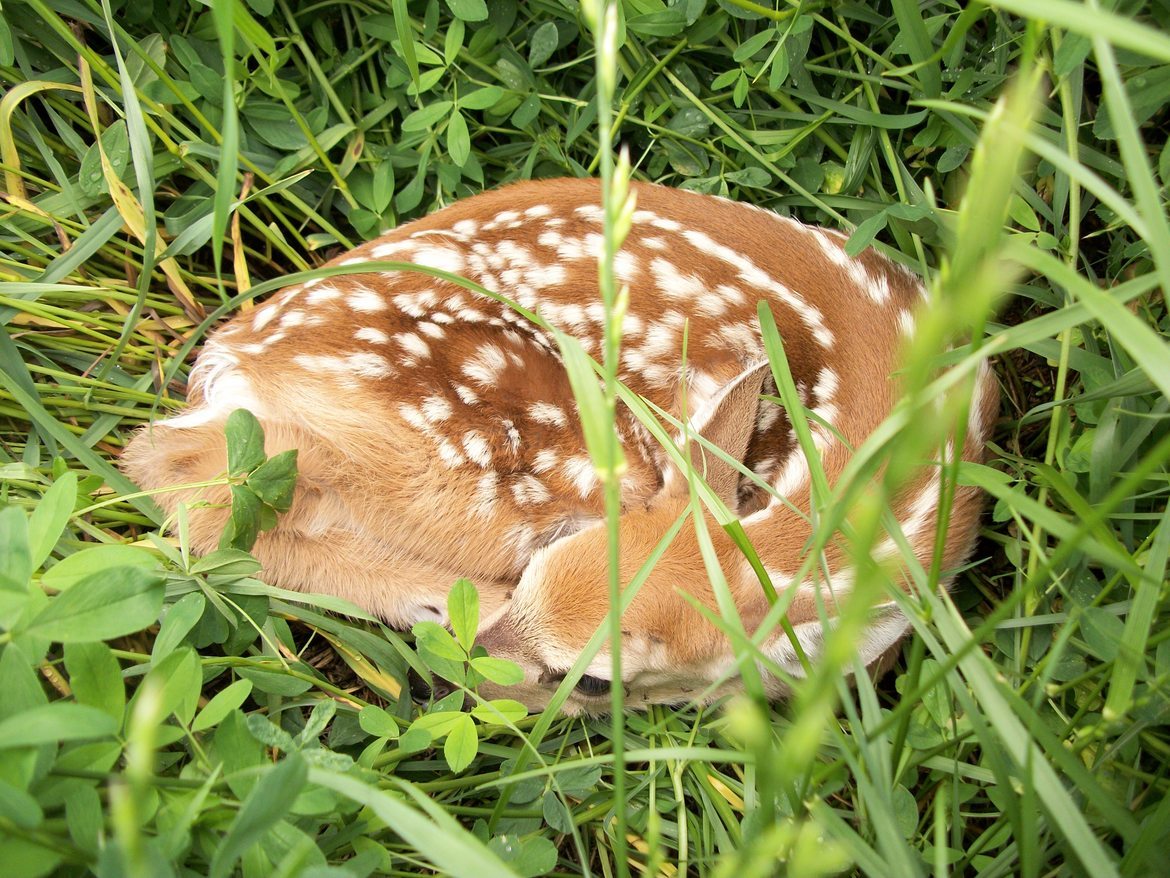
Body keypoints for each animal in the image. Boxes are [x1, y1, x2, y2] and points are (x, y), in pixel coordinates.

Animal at [122, 177, 998, 713]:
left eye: (598, 683)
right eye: (538, 570)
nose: (450, 677)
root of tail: (233, 350)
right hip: (482, 452)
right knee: (186, 480)